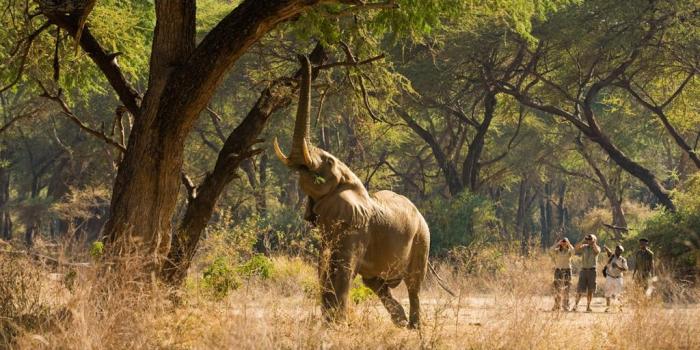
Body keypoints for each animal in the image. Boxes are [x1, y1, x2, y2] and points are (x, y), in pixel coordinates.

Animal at [272, 54, 432, 328]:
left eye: (327, 161)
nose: (304, 57)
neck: (350, 181)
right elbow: (323, 268)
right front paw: (329, 323)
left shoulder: (357, 226)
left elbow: (342, 269)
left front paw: (337, 325)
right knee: (375, 283)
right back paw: (399, 321)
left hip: (422, 238)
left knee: (413, 284)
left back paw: (413, 328)